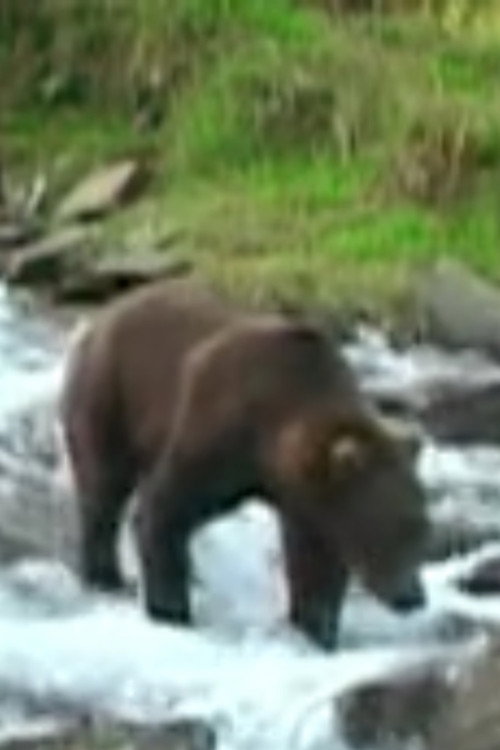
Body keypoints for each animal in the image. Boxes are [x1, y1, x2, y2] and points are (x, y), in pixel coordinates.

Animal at [61, 279, 429, 649]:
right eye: (395, 525)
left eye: (422, 528)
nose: (413, 597)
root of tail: (105, 313)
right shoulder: (218, 432)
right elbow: (165, 507)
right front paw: (172, 611)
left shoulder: (309, 503)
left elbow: (315, 563)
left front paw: (317, 629)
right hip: (110, 393)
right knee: (103, 486)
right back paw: (106, 577)